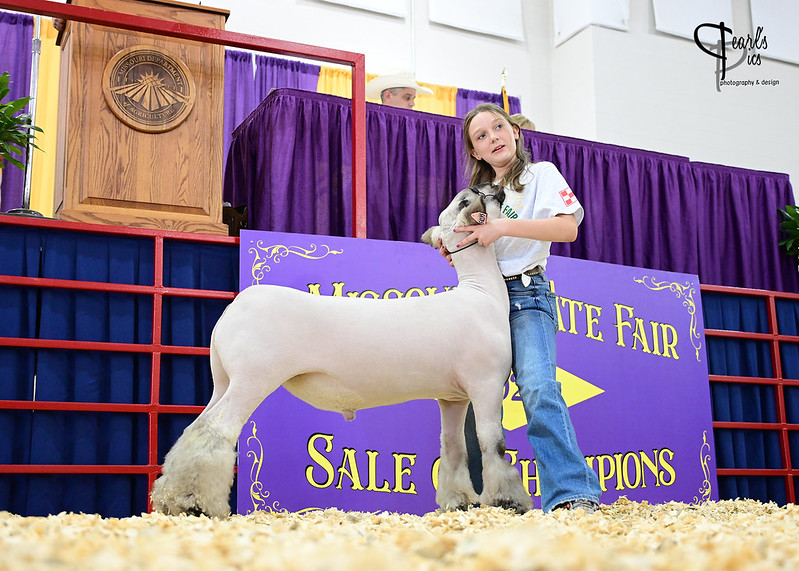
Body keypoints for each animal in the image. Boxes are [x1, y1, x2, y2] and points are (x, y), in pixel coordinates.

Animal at [152, 183, 536, 520]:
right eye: (468, 199)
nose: (495, 186)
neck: (480, 292)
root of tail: (235, 307)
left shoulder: (452, 397)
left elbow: (453, 447)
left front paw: (459, 502)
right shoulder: (486, 383)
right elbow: (493, 443)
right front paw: (508, 501)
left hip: (223, 380)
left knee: (193, 430)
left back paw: (171, 499)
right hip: (252, 378)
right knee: (215, 431)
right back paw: (195, 502)